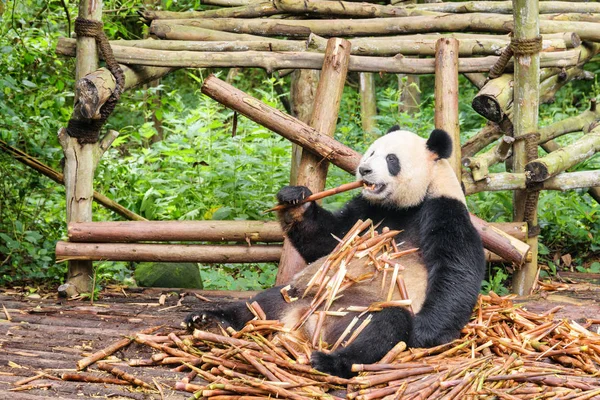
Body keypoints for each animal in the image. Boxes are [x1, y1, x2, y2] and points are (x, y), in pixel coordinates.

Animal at [185, 127, 486, 378]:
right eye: (372, 151)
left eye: (391, 159)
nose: (364, 170)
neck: (404, 205)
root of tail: (305, 329)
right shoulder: (368, 210)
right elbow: (330, 240)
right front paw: (295, 199)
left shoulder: (443, 210)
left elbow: (456, 271)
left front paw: (425, 332)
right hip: (298, 295)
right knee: (260, 304)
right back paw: (210, 320)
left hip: (356, 313)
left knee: (383, 327)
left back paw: (330, 361)